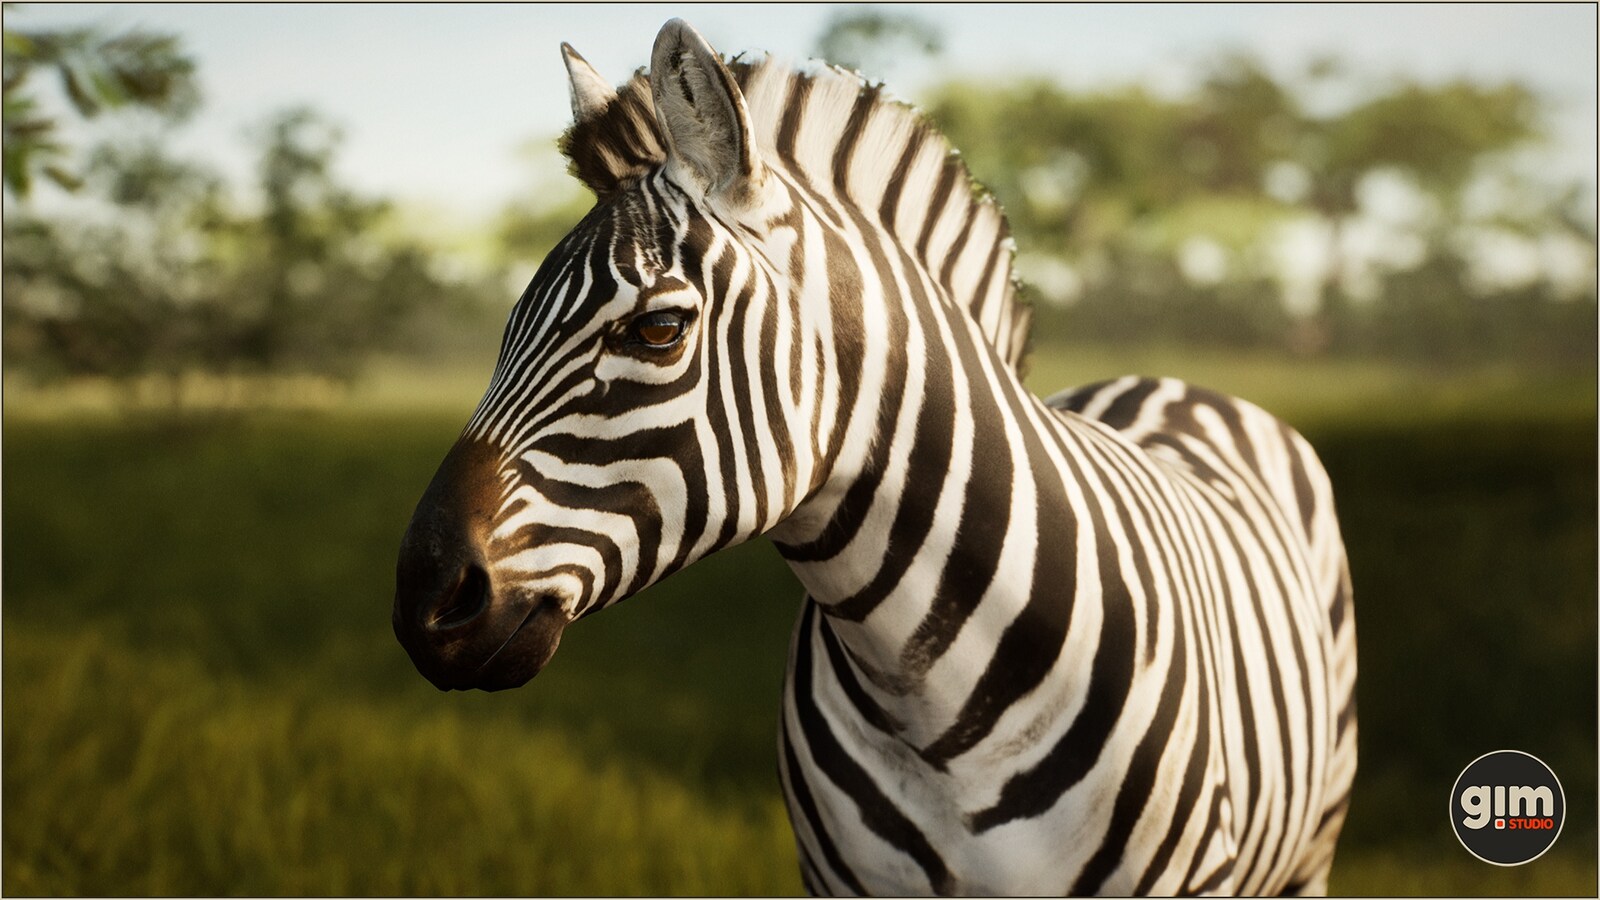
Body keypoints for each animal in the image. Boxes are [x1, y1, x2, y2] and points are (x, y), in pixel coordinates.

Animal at [393, 19, 1357, 896]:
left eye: (658, 329)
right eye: (507, 327)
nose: (421, 605)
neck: (930, 702)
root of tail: (1166, 381)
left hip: (1313, 843)